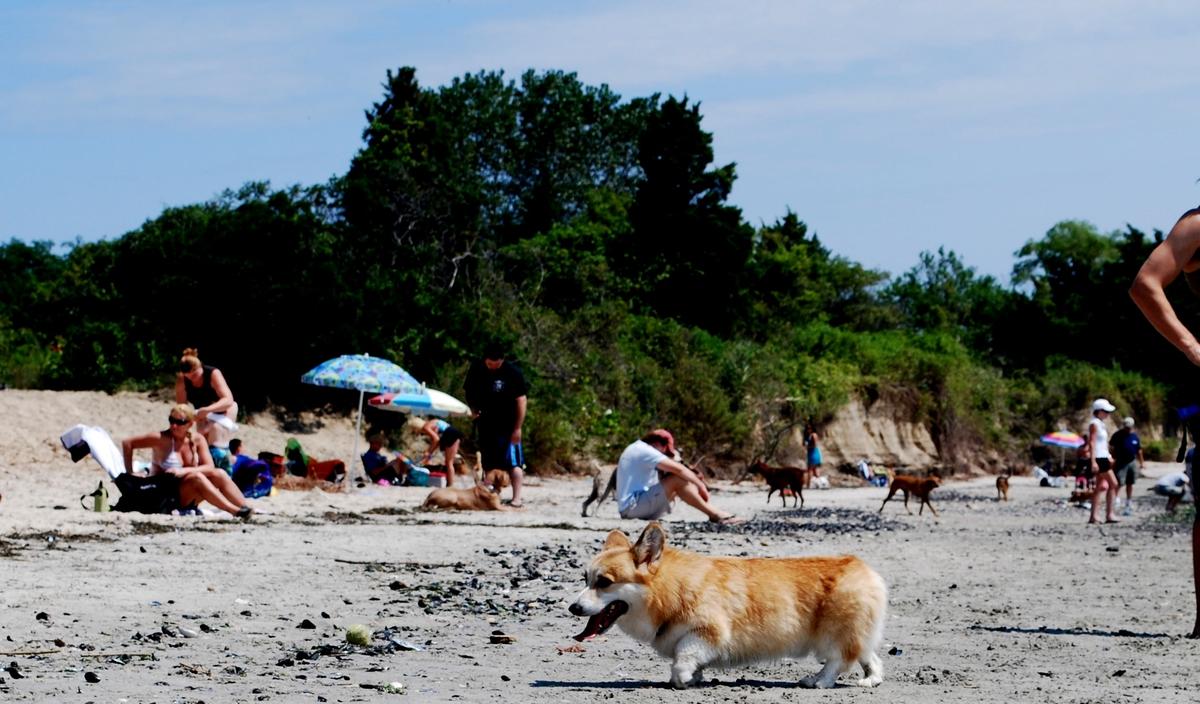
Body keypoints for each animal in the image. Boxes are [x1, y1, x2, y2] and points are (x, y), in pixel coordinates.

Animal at [566, 522, 888, 690]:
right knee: (868, 656)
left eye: (604, 582)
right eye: (585, 578)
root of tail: (868, 571)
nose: (573, 608)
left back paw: (817, 681)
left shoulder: (709, 632)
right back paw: (870, 681)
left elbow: (683, 657)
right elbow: (691, 658)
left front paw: (683, 679)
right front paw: (695, 678)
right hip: (857, 633)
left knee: (837, 661)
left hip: (832, 634)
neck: (667, 589)